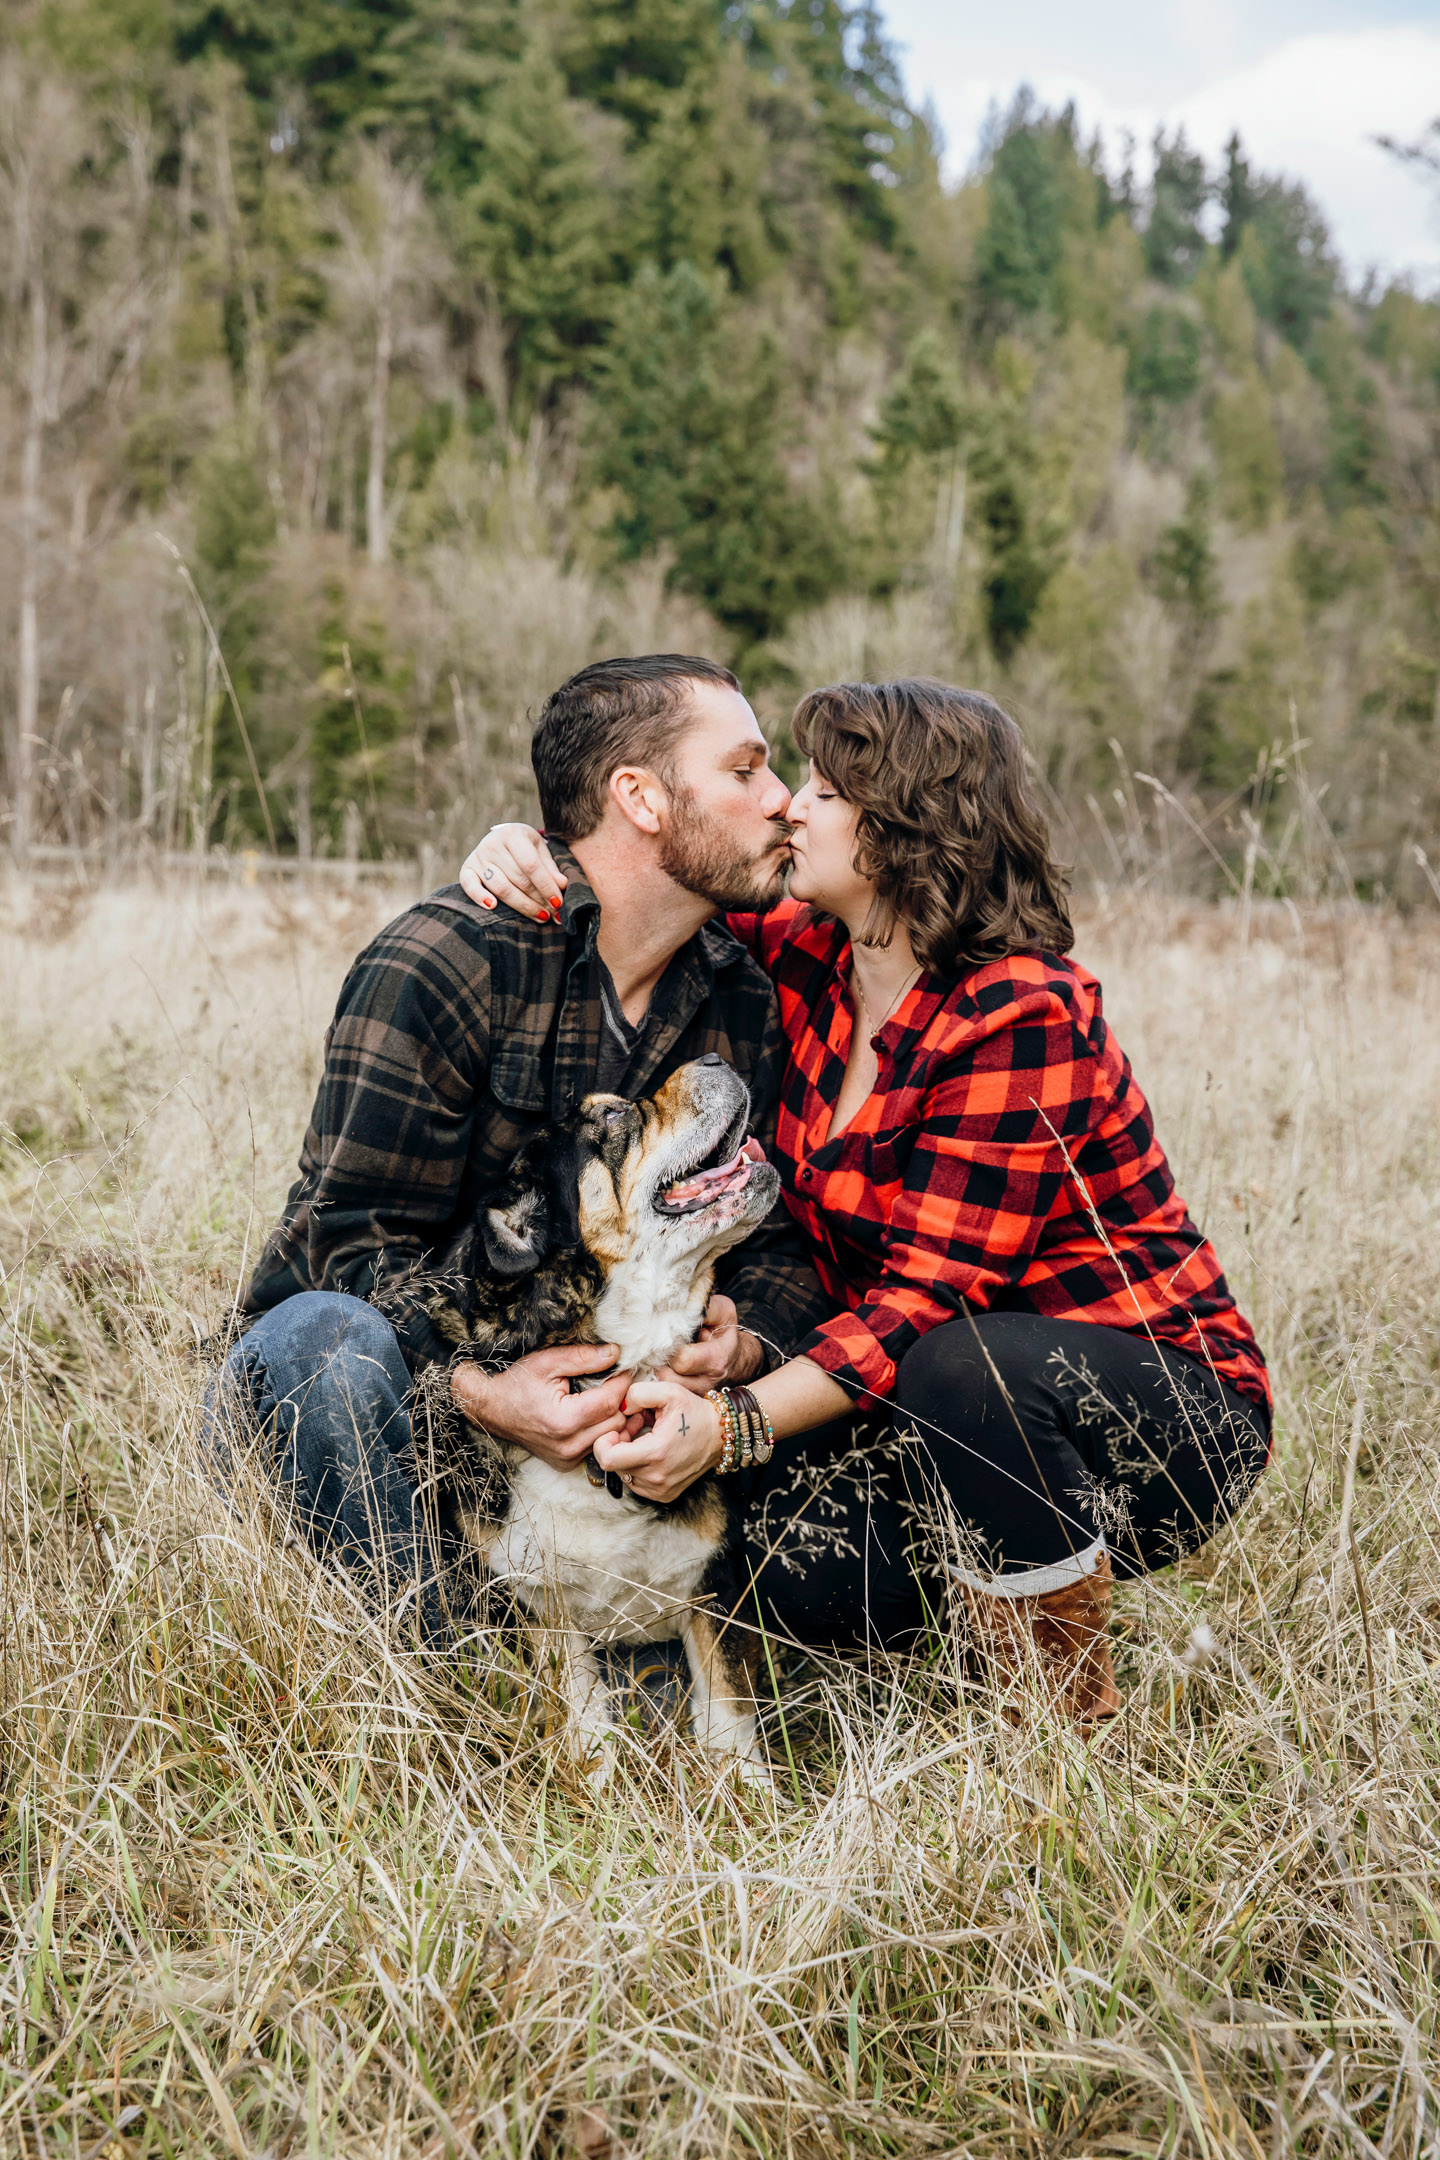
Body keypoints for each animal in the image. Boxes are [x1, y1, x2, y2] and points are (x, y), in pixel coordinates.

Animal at [410, 1054, 781, 1779]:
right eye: (613, 1117)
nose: (715, 1059)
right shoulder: (539, 1609)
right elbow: (586, 1723)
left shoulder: (713, 1589)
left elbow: (728, 1722)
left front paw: (746, 1794)